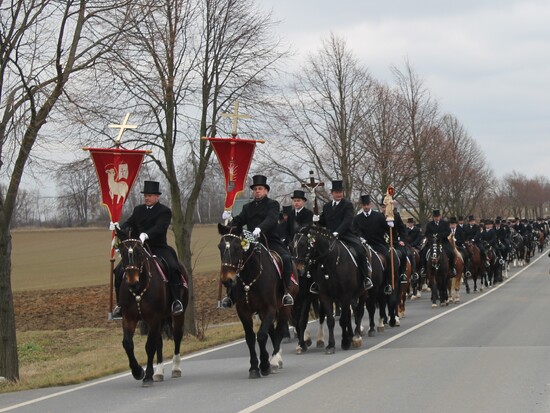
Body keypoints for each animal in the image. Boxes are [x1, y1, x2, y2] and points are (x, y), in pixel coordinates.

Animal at [115, 230, 189, 384]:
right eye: (123, 253)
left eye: (140, 253)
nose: (132, 282)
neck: (139, 289)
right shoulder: (129, 318)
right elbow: (128, 343)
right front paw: (138, 371)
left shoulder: (153, 318)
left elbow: (149, 346)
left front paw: (147, 375)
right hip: (160, 319)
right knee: (159, 341)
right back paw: (159, 372)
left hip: (178, 315)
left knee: (177, 336)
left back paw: (175, 369)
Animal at [218, 224, 300, 378]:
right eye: (220, 247)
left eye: (237, 247)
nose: (227, 280)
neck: (250, 275)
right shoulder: (243, 311)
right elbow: (250, 338)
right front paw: (254, 367)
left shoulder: (269, 308)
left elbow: (261, 335)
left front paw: (265, 365)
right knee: (272, 331)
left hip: (284, 307)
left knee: (279, 330)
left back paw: (275, 360)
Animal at [294, 224, 366, 352]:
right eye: (292, 244)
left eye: (303, 244)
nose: (298, 270)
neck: (331, 263)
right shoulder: (323, 295)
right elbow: (330, 321)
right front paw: (330, 345)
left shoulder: (345, 295)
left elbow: (343, 320)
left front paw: (345, 342)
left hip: (362, 293)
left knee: (359, 311)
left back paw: (356, 336)